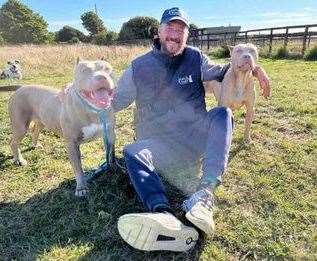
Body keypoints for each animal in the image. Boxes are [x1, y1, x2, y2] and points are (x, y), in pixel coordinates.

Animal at [5, 59, 115, 196]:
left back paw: (35, 145)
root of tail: (21, 87)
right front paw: (81, 188)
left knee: (35, 130)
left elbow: (110, 153)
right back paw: (19, 160)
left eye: (107, 69)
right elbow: (78, 168)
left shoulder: (109, 134)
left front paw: (111, 167)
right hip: (20, 126)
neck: (94, 111)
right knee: (13, 142)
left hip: (42, 119)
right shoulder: (71, 144)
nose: (102, 77)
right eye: (84, 70)